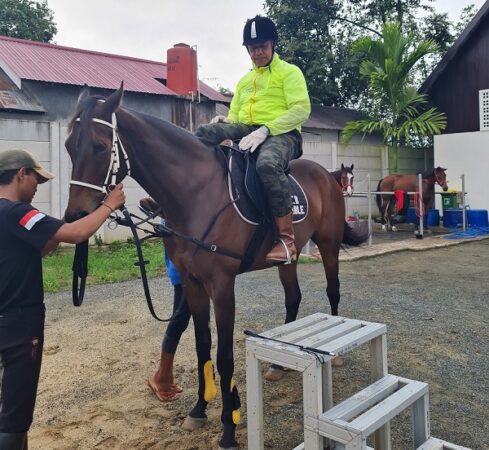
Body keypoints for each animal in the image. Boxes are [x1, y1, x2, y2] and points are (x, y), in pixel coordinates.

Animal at [63, 85, 366, 450]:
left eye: (99, 145)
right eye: (68, 146)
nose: (75, 217)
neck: (195, 193)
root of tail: (327, 177)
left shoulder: (221, 286)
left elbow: (223, 356)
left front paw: (229, 428)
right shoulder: (193, 284)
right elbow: (201, 347)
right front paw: (198, 409)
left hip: (329, 245)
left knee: (333, 290)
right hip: (288, 259)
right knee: (293, 297)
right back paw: (278, 365)